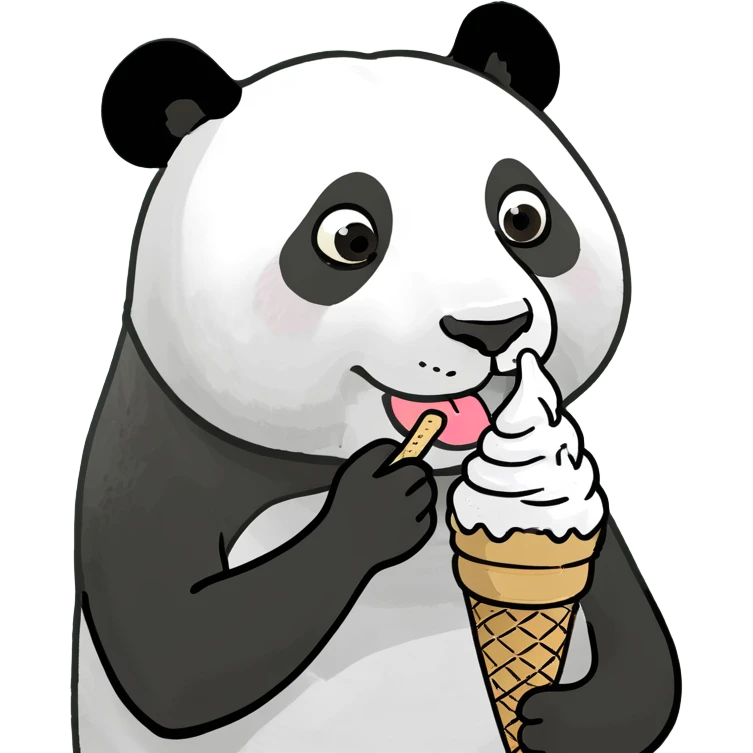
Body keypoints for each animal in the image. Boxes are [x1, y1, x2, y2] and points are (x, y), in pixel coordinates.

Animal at [76, 4, 682, 753]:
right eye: (349, 238)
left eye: (524, 217)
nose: (493, 327)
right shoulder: (160, 448)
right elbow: (180, 656)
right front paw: (375, 504)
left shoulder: (583, 509)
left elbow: (635, 644)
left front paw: (555, 718)